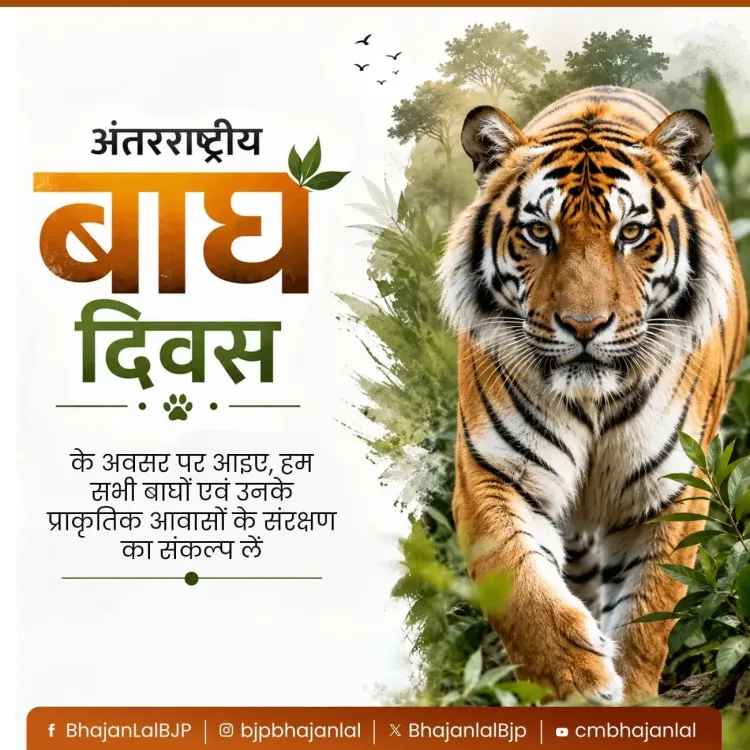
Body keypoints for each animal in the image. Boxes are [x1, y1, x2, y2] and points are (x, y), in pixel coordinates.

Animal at [438, 85, 748, 704]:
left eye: (630, 233)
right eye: (539, 232)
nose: (584, 327)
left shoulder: (671, 486)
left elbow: (648, 612)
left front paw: (633, 691)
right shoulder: (491, 473)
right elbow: (526, 593)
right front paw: (580, 683)